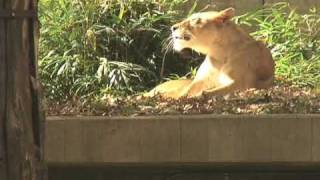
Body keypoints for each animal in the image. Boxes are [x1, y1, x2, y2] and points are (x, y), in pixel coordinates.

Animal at [146, 7, 274, 99]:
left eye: (195, 20)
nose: (173, 27)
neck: (219, 53)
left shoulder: (241, 83)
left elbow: (208, 92)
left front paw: (198, 96)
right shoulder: (199, 82)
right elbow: (184, 92)